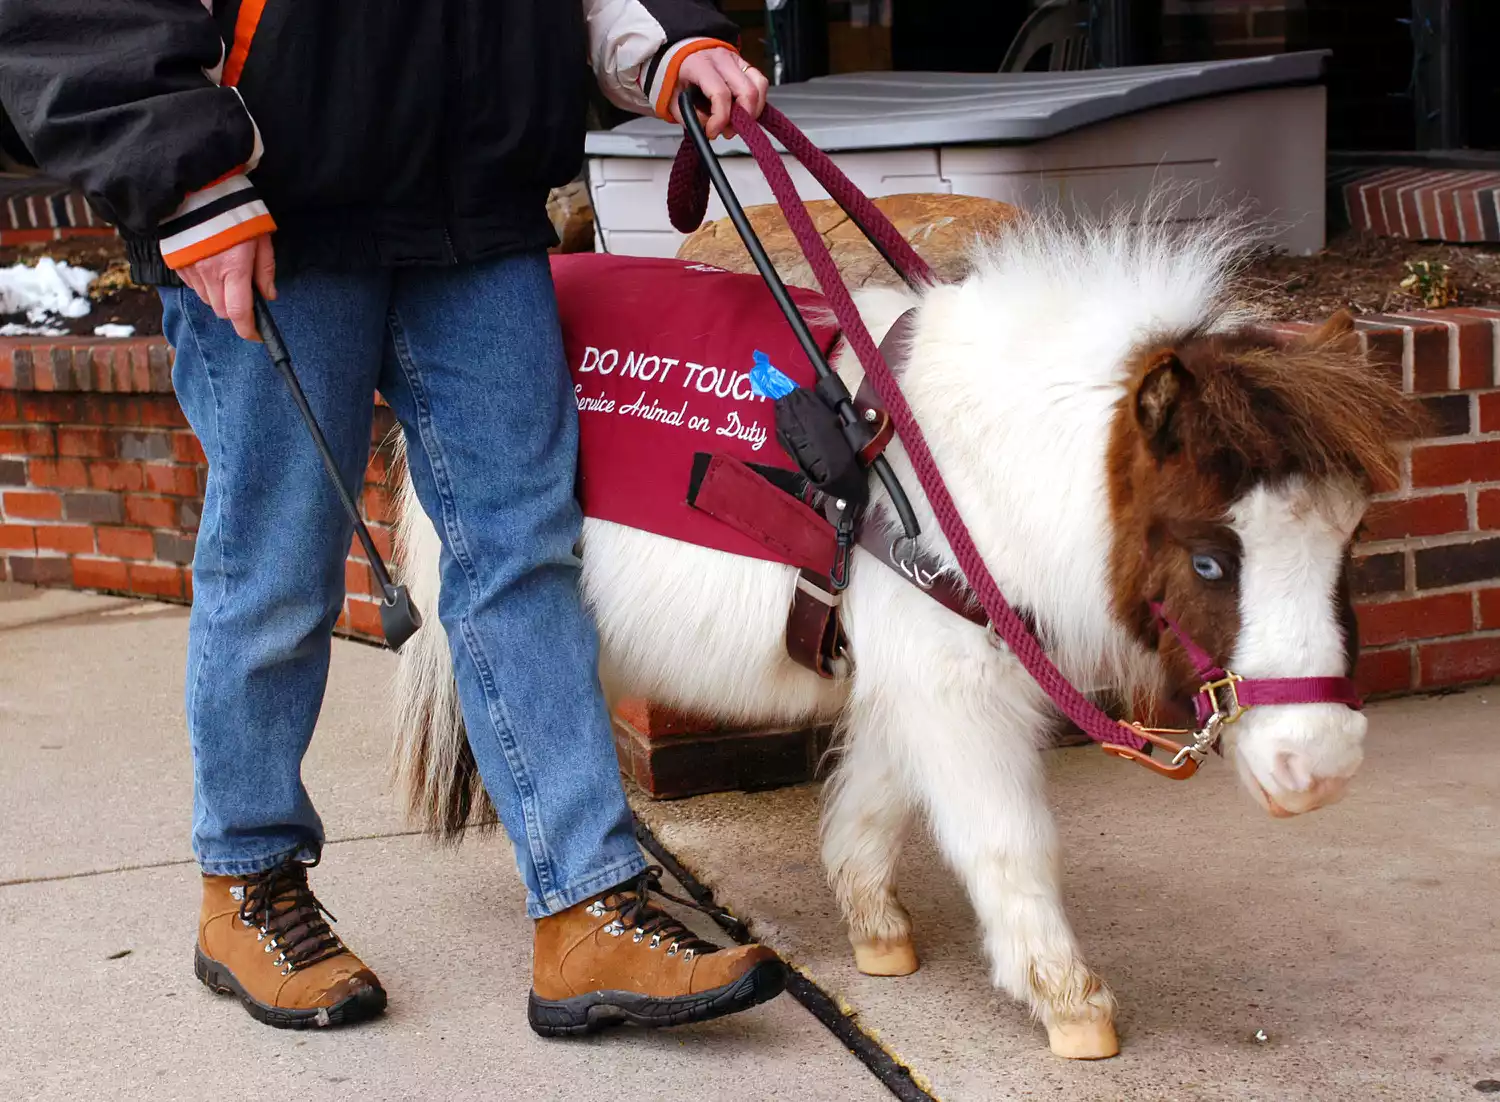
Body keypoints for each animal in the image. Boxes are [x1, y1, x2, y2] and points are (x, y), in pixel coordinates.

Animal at [387, 211, 1416, 1055]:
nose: (1320, 767)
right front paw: (1071, 1004)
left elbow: (878, 804)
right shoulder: (953, 689)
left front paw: (876, 932)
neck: (965, 472)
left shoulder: (921, 673)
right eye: (1209, 560)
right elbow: (1008, 838)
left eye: (1351, 536)